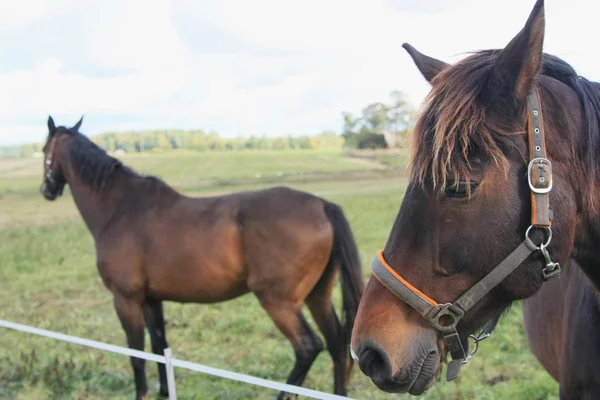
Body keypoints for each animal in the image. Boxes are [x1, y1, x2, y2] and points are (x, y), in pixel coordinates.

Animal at [39, 116, 366, 400]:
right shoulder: (151, 299)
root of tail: (322, 205)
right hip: (317, 295)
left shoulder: (126, 299)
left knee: (308, 347)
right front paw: (164, 392)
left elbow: (136, 354)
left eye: (44, 150)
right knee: (337, 344)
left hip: (279, 302)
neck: (120, 209)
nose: (46, 189)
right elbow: (159, 346)